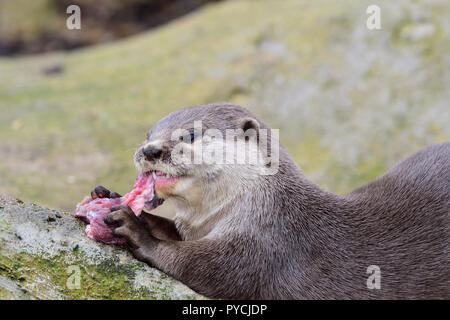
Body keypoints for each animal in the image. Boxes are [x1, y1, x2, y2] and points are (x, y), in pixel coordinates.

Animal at [92, 103, 450, 300]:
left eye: (191, 135)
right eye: (147, 134)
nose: (149, 150)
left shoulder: (268, 243)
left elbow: (203, 268)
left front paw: (135, 228)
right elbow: (173, 232)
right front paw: (110, 198)